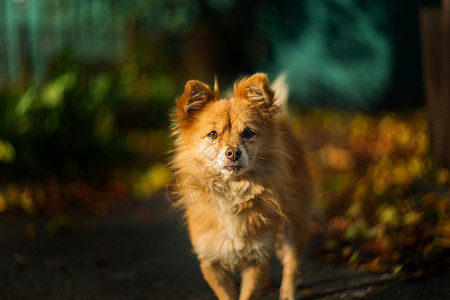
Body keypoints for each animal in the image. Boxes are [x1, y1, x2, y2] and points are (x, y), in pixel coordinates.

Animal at [171, 73, 314, 300]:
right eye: (212, 134)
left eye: (248, 133)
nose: (233, 152)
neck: (232, 191)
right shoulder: (210, 260)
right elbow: (226, 294)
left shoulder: (258, 257)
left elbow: (248, 293)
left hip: (295, 223)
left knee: (292, 260)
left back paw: (289, 291)